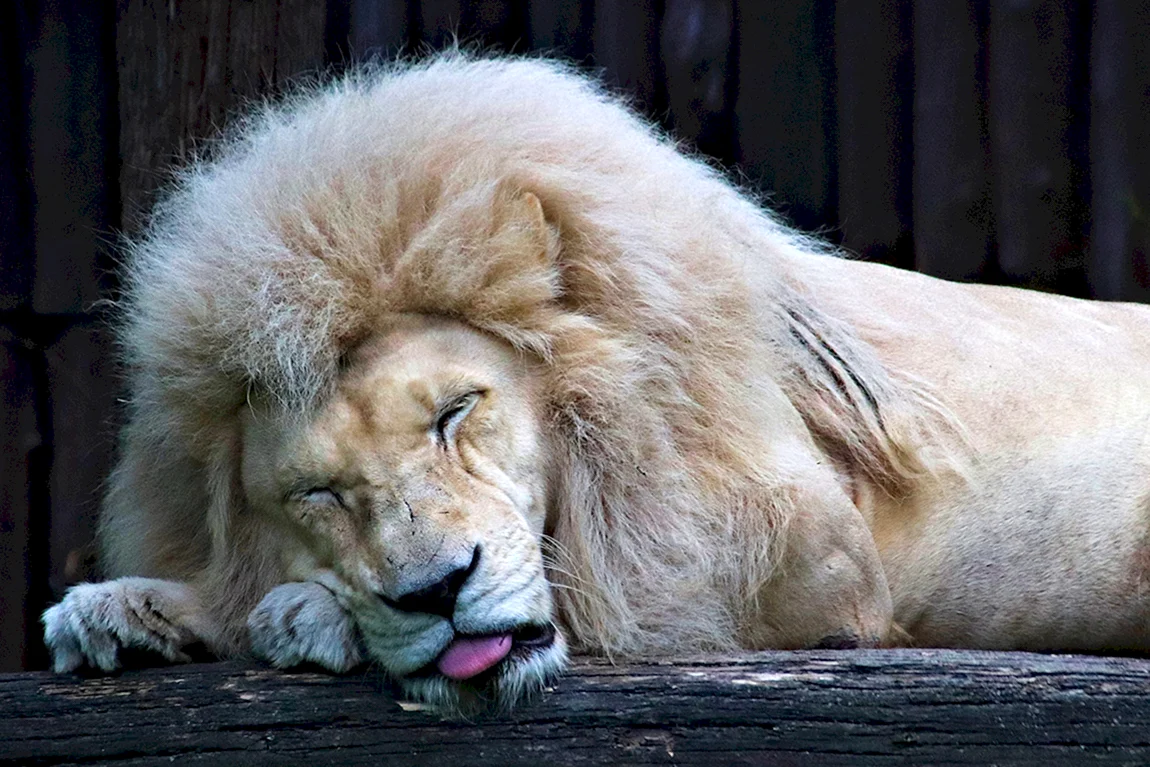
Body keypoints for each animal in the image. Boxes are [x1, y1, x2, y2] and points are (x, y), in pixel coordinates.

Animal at [42, 54, 1150, 711]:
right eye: (318, 490)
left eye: (455, 412)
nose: (435, 592)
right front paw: (125, 611)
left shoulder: (804, 561)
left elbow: (597, 571)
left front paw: (305, 614)